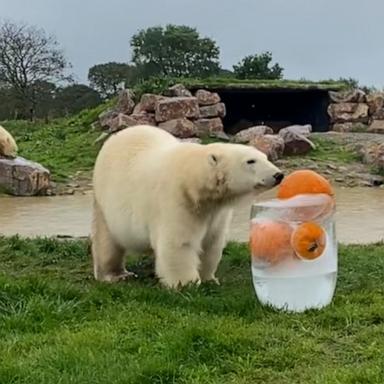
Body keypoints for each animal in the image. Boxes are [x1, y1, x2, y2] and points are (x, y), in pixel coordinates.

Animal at [90, 125, 282, 288]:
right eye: (251, 161)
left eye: (265, 157)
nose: (278, 175)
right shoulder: (177, 201)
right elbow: (179, 243)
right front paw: (187, 283)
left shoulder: (216, 212)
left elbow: (212, 242)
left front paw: (209, 279)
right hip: (105, 201)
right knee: (106, 241)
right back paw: (115, 274)